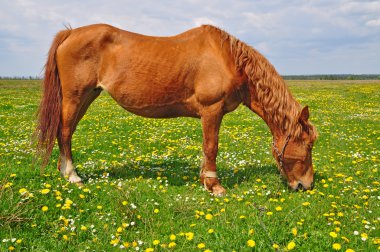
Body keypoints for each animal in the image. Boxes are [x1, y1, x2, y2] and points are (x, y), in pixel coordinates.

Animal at [35, 23, 316, 196]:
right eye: (308, 144)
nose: (306, 185)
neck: (229, 60)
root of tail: (70, 34)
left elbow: (206, 148)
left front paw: (205, 180)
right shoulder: (212, 110)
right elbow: (212, 146)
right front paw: (215, 186)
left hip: (87, 96)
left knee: (66, 132)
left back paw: (65, 171)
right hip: (74, 97)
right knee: (65, 132)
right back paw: (72, 175)